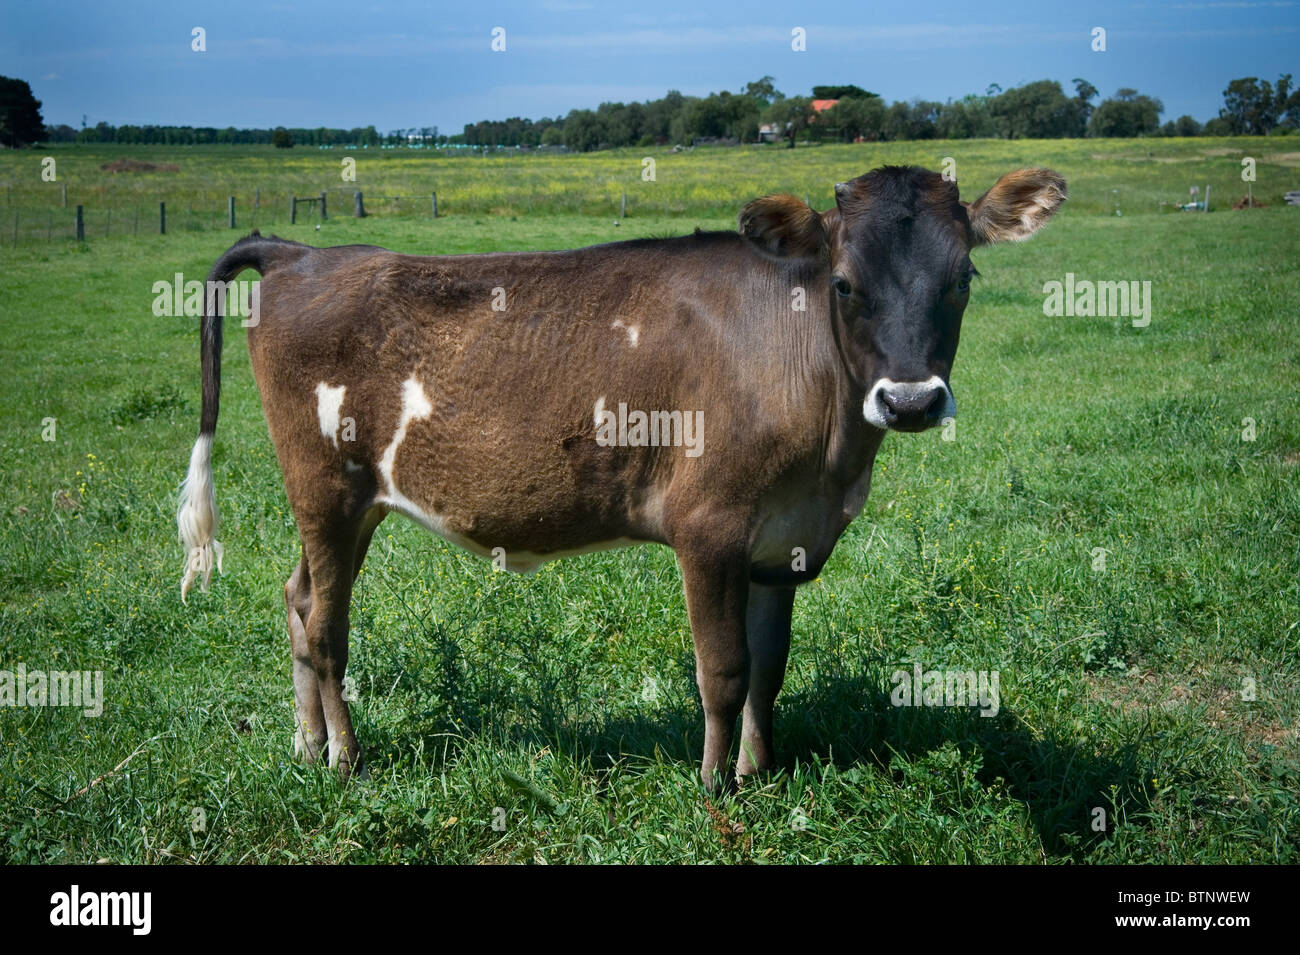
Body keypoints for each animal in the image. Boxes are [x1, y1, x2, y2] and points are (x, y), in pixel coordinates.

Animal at [180, 166, 1066, 789]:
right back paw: (345, 759)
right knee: (327, 625)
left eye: (963, 279)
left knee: (297, 599)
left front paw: (759, 772)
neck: (829, 458)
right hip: (326, 485)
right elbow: (724, 670)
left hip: (348, 503)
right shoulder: (708, 527)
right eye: (844, 282)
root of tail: (303, 252)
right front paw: (715, 788)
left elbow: (770, 667)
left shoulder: (783, 542)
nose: (911, 399)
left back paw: (306, 745)